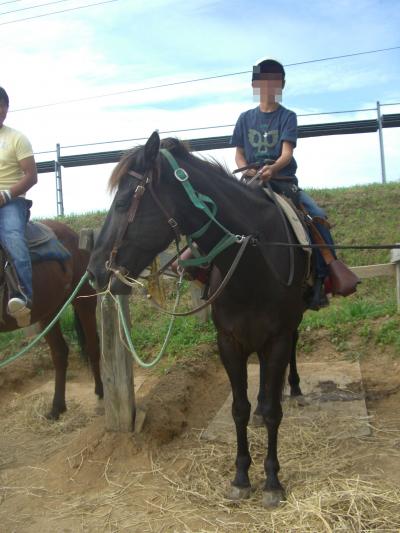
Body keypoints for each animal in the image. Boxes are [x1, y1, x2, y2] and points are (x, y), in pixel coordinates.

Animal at [0, 218, 103, 418]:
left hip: (83, 301)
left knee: (93, 345)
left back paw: (101, 392)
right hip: (48, 312)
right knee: (60, 352)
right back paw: (57, 407)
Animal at [87, 131, 306, 504]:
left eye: (123, 202)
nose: (94, 271)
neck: (254, 261)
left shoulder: (276, 338)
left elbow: (274, 412)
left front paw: (273, 481)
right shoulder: (229, 342)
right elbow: (239, 408)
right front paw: (241, 476)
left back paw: (294, 387)